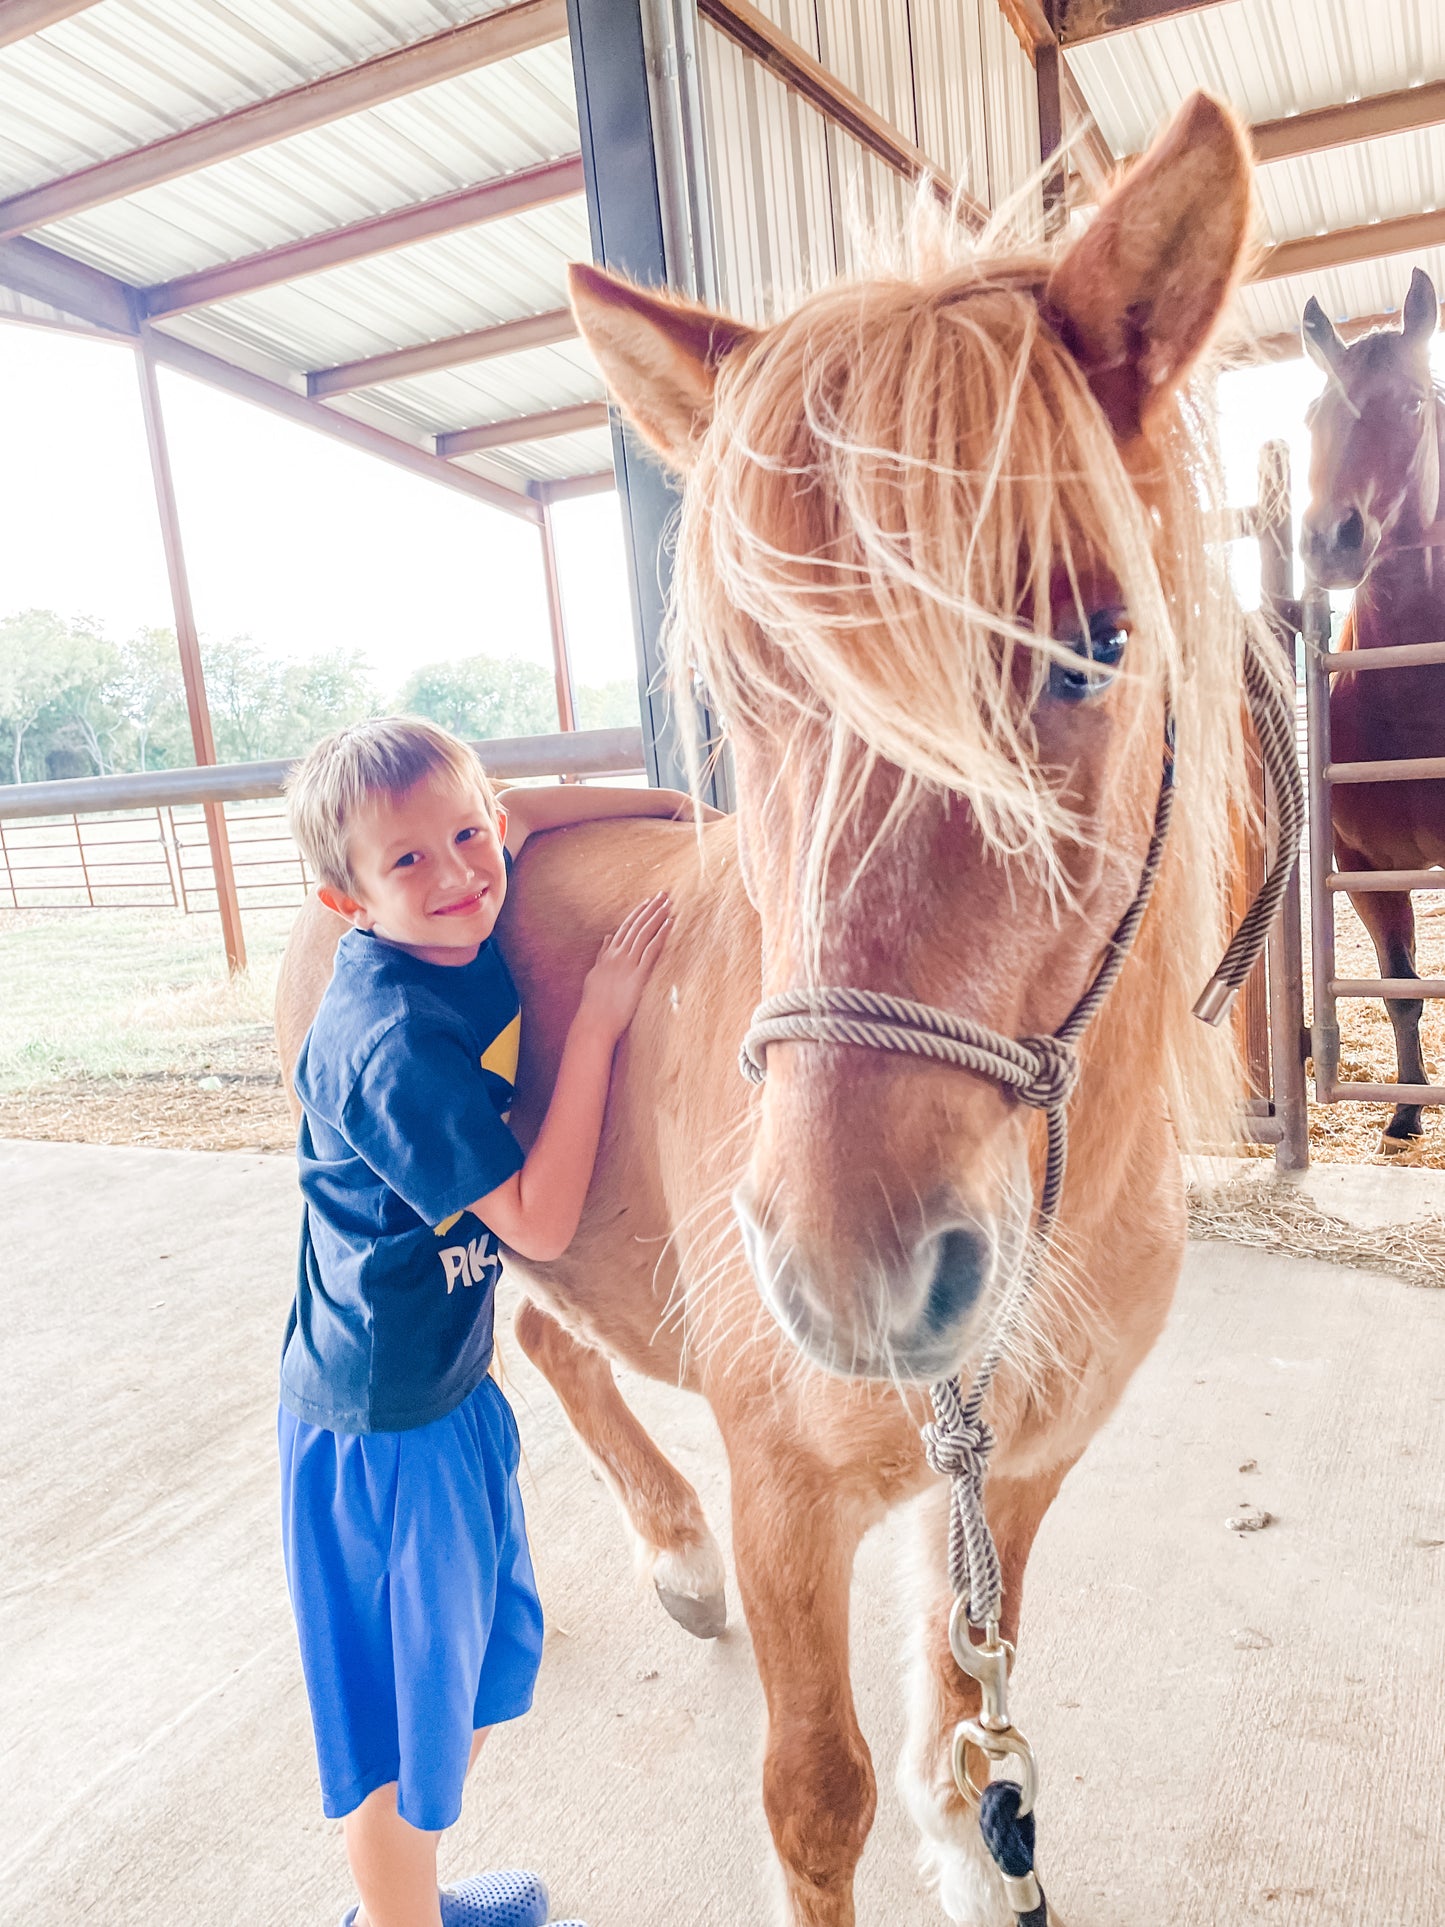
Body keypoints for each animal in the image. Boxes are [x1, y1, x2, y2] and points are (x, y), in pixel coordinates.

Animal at [277, 92, 1263, 1926]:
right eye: (741, 685)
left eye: (1092, 642)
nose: (852, 1274)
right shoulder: (789, 1493)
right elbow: (823, 1795)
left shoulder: (1010, 1481)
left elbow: (969, 1771)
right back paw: (670, 1550)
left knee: (547, 1326)